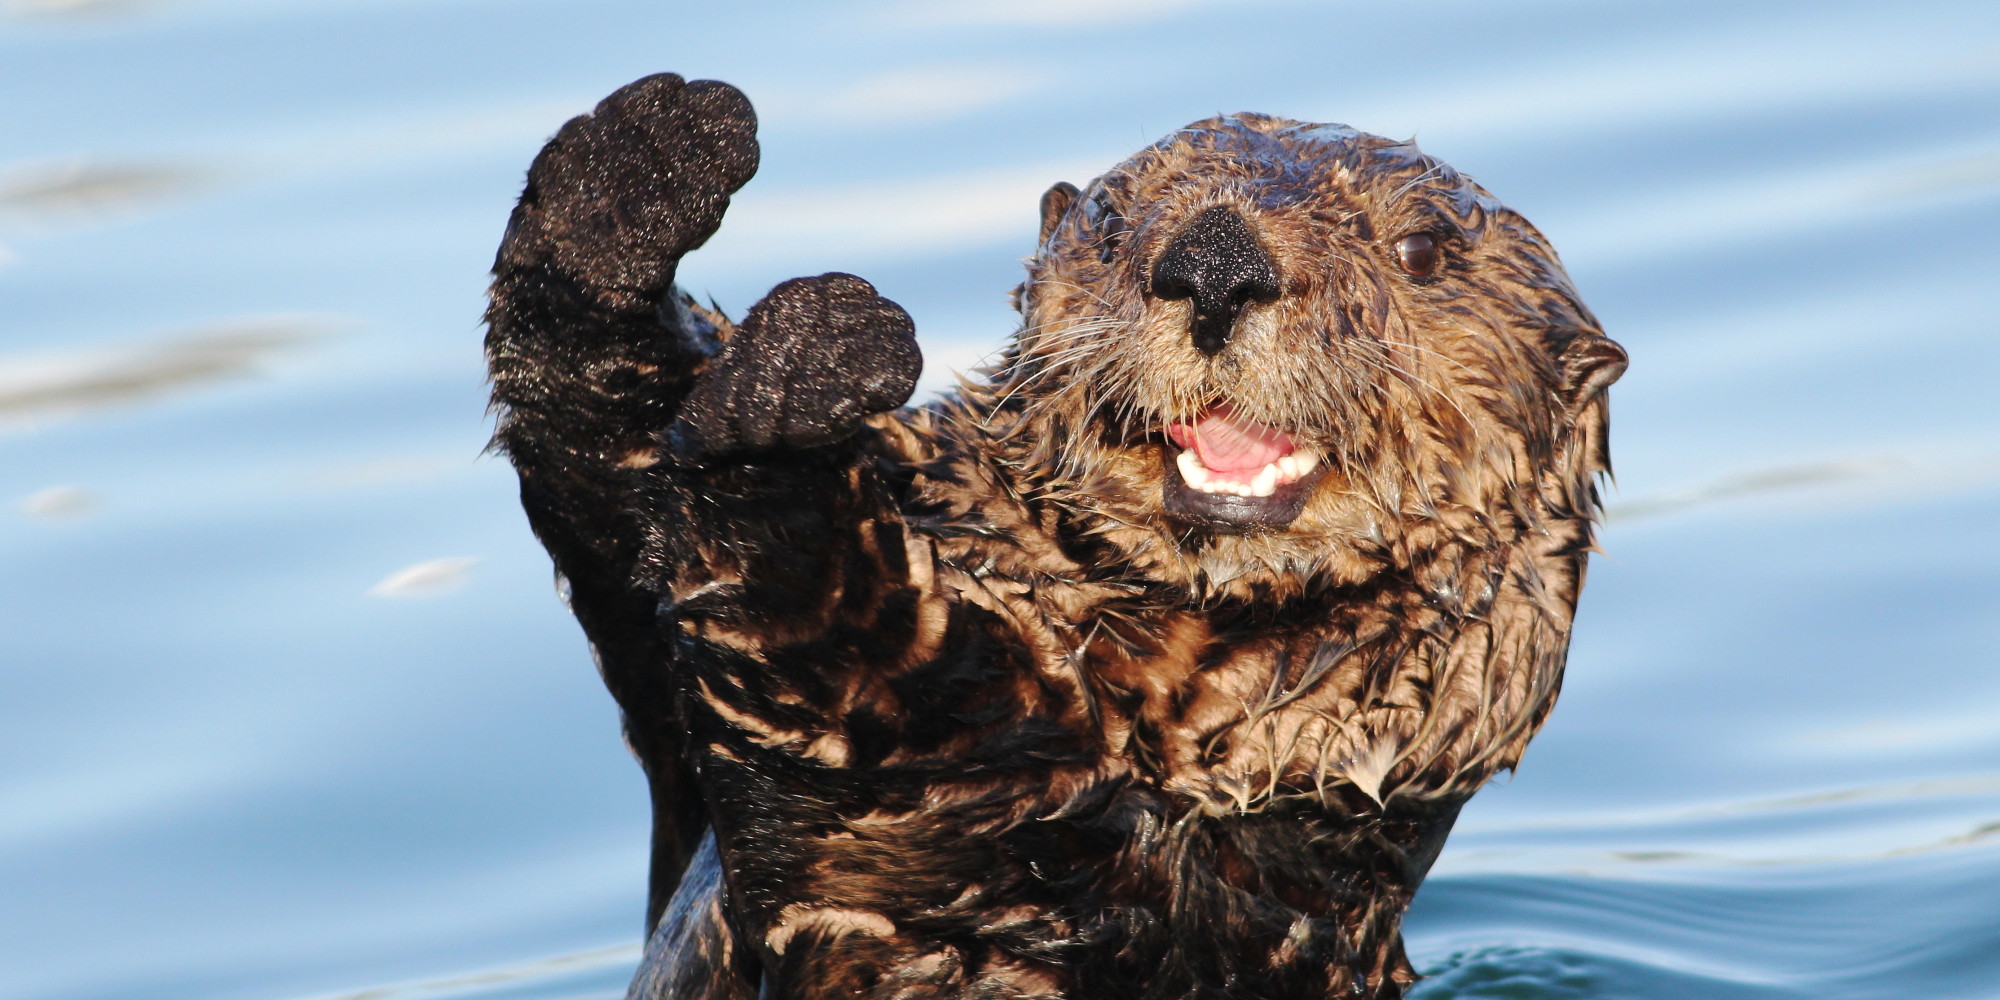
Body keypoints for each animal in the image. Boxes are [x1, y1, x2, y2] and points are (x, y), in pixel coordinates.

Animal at [484, 72, 1624, 1000]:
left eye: (1420, 249)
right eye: (1113, 225)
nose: (1215, 262)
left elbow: (859, 680)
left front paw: (795, 382)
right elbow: (613, 486)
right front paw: (640, 167)